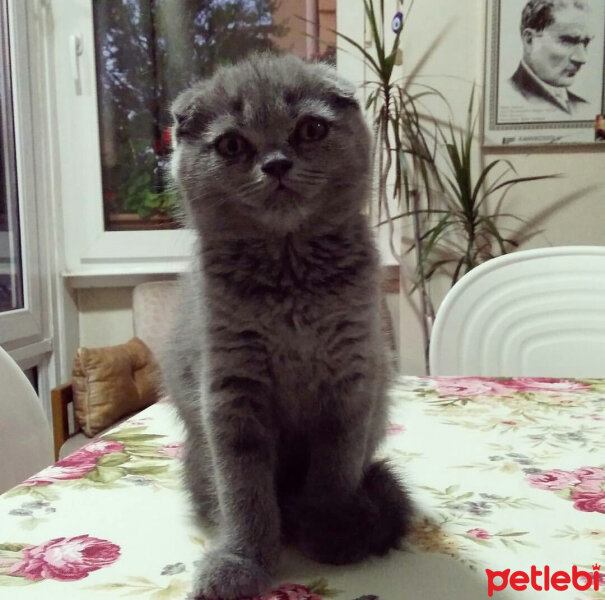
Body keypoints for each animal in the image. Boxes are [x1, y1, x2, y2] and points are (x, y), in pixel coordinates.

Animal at [163, 52, 412, 600]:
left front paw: (331, 529)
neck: (289, 275)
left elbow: (336, 467)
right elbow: (244, 490)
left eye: (311, 129)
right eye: (232, 144)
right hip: (196, 454)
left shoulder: (352, 378)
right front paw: (241, 561)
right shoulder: (232, 391)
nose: (276, 163)